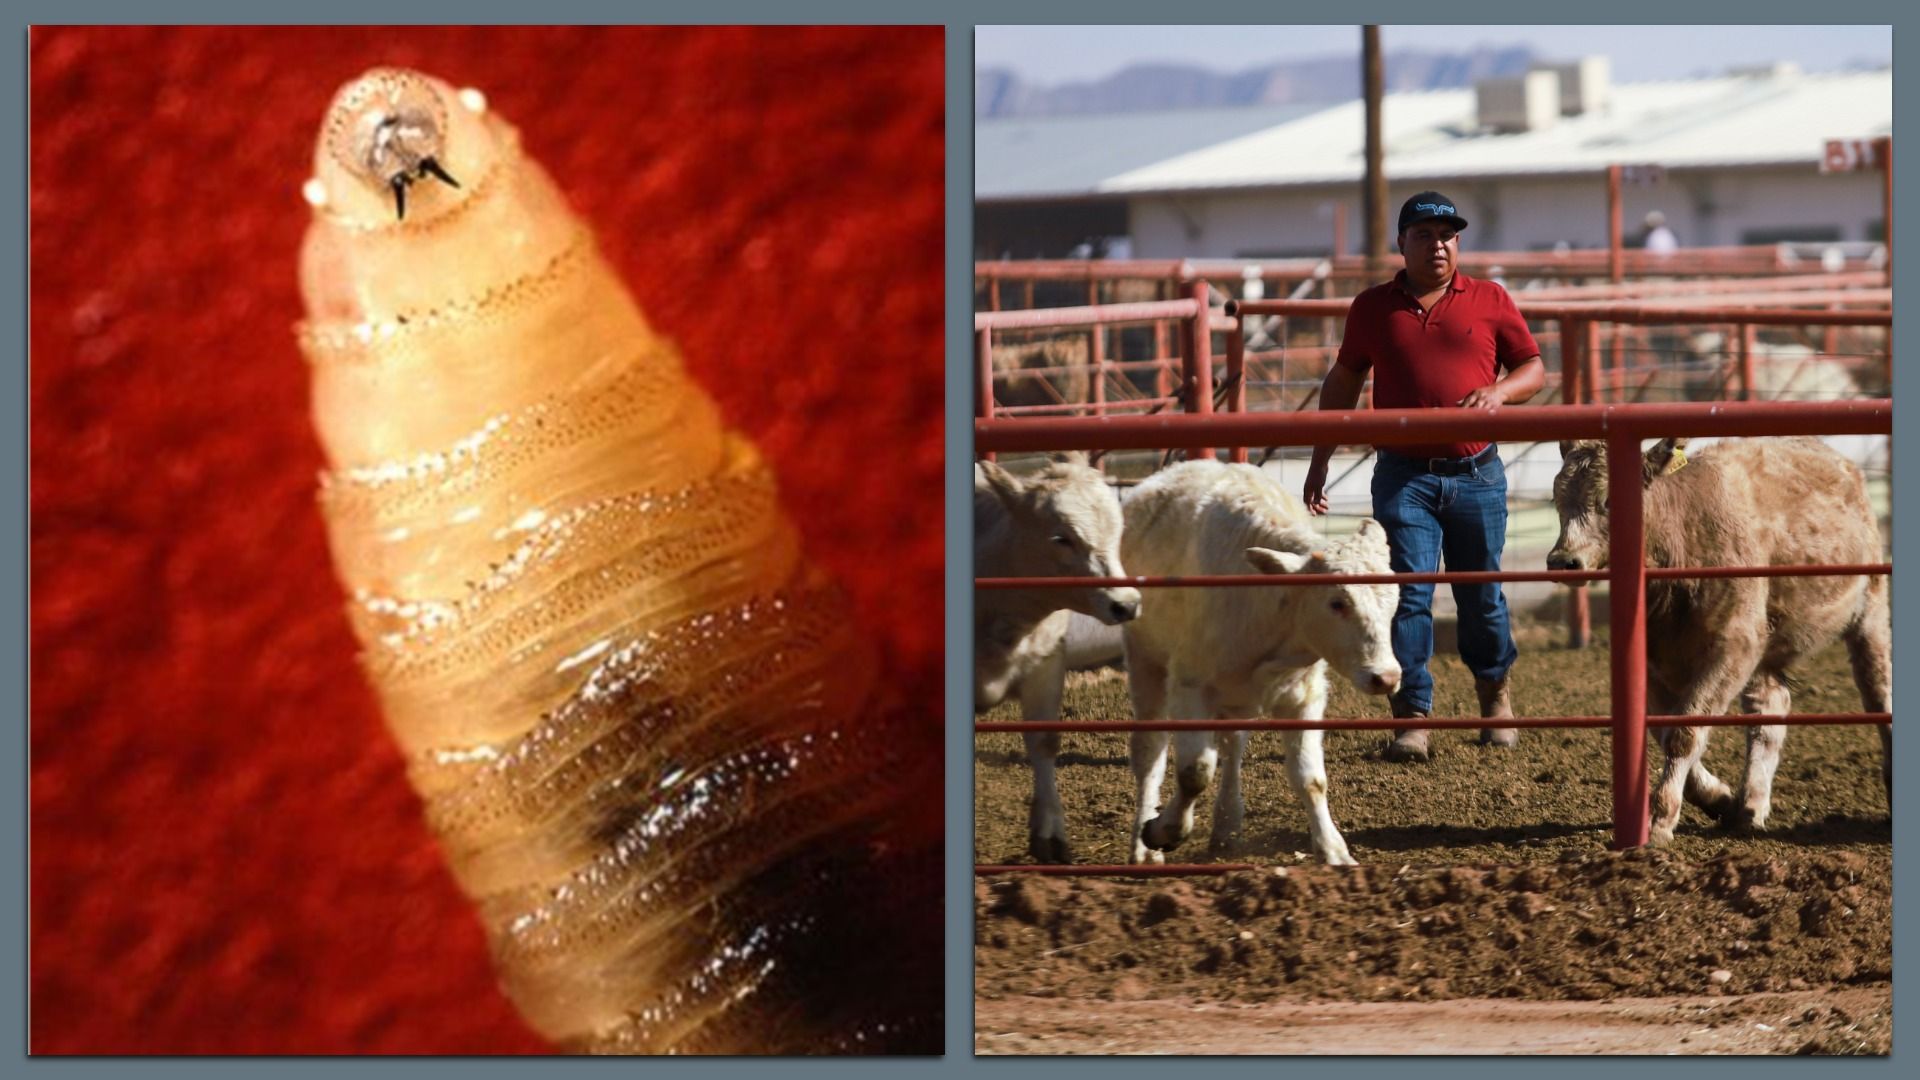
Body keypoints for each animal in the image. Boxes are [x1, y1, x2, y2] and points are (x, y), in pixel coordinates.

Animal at [975, 453, 1142, 863]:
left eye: (1117, 529)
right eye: (1061, 537)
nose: (1126, 603)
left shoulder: (1045, 664)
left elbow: (1044, 740)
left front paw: (1049, 833)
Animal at [1120, 459, 1401, 866]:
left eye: (1393, 597)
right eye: (1337, 602)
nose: (1387, 677)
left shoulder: (1305, 696)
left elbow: (1310, 778)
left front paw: (1332, 848)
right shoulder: (1190, 685)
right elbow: (1194, 771)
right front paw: (1163, 830)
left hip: (1236, 697)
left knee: (1232, 744)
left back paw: (1227, 826)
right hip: (1145, 660)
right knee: (1150, 751)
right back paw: (1143, 848)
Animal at [1547, 436, 1891, 844]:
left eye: (1609, 500)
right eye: (1557, 497)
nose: (1562, 560)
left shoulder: (1731, 648)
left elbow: (1685, 732)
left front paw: (1660, 819)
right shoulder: (1654, 663)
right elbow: (1665, 731)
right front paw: (1719, 798)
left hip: (1868, 614)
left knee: (1877, 691)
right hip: (1762, 646)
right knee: (1769, 710)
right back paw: (1750, 805)